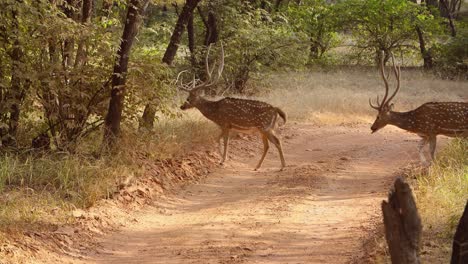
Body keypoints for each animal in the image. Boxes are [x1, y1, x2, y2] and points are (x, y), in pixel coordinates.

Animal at [177, 43, 286, 171]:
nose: (182, 106)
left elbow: (223, 141)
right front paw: (222, 158)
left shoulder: (225, 123)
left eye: (189, 97)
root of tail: (275, 109)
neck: (215, 112)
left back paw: (282, 166)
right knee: (267, 145)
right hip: (264, 129)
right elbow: (218, 139)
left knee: (277, 141)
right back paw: (257, 166)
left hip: (265, 127)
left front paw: (222, 160)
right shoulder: (226, 126)